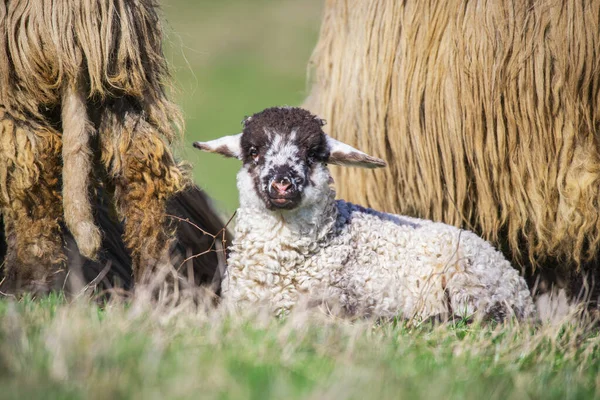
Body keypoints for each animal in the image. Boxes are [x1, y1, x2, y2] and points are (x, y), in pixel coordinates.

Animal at [0, 0, 227, 294]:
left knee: (29, 165)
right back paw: (155, 283)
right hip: (120, 65)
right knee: (139, 163)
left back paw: (25, 284)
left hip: (19, 68)